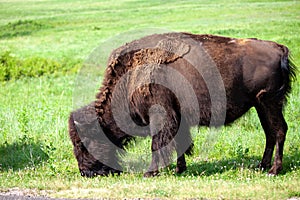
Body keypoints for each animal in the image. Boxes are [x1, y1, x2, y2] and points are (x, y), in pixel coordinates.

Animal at [69, 32, 296, 177]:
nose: (86, 173)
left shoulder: (161, 116)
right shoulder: (177, 118)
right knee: (269, 133)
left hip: (269, 102)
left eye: (83, 142)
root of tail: (279, 48)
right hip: (261, 106)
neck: (131, 76)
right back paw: (261, 166)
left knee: (279, 131)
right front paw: (180, 169)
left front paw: (150, 173)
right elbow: (179, 143)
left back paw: (273, 171)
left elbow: (157, 144)